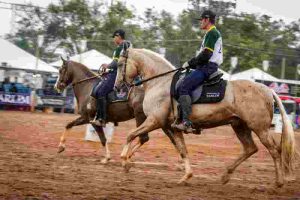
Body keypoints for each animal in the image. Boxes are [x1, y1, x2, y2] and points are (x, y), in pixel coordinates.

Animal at [115, 47, 296, 187]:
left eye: (120, 64)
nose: (117, 86)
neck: (160, 82)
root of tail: (268, 90)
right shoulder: (171, 127)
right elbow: (182, 150)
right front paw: (186, 176)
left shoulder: (154, 120)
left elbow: (130, 134)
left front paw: (124, 161)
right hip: (239, 126)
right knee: (251, 148)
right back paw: (225, 175)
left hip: (260, 128)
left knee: (274, 150)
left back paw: (279, 182)